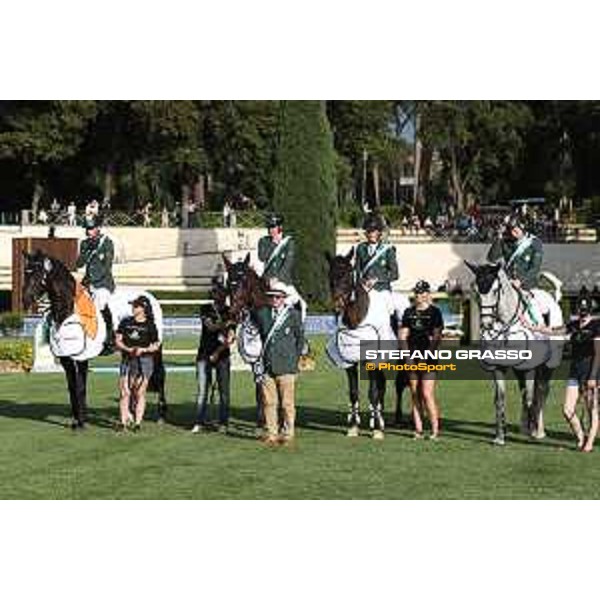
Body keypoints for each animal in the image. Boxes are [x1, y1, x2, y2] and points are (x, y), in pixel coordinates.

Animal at [22, 251, 168, 428]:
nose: (25, 300)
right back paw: (131, 415)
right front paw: (76, 420)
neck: (69, 312)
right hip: (129, 351)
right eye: (25, 272)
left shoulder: (82, 358)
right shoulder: (66, 359)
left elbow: (81, 388)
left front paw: (81, 422)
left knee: (160, 375)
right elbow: (72, 387)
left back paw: (160, 416)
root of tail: (149, 295)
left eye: (38, 273)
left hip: (155, 348)